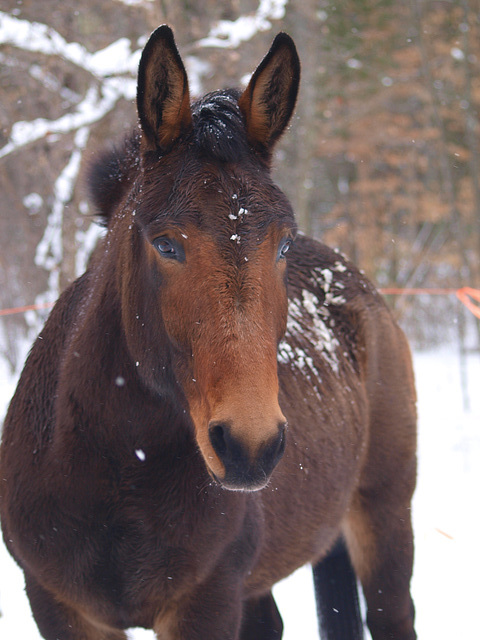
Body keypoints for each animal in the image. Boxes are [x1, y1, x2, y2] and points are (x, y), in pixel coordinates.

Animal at [0, 25, 416, 640]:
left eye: (283, 242)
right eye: (165, 244)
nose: (250, 445)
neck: (119, 470)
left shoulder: (205, 602)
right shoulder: (58, 605)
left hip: (383, 514)